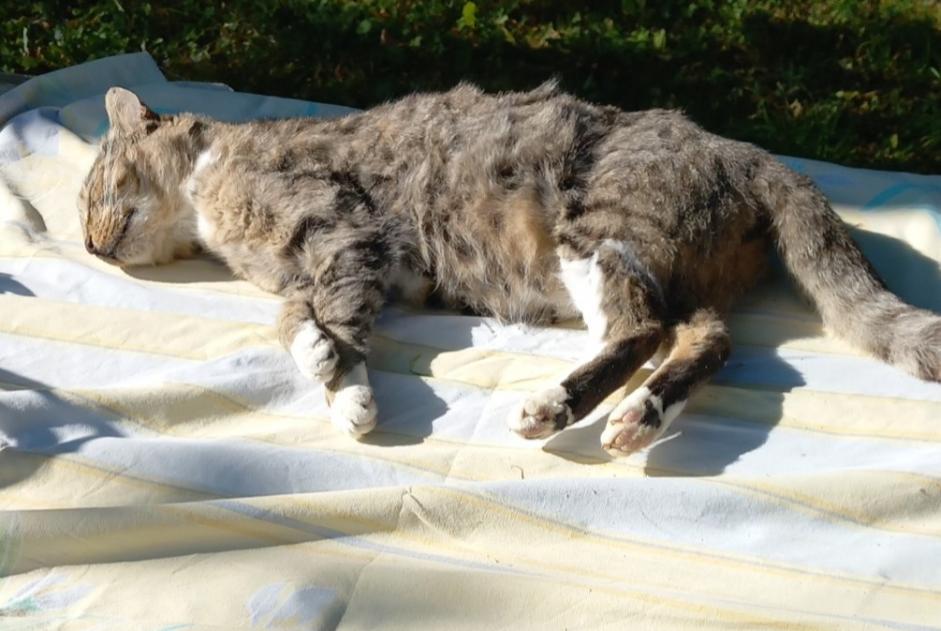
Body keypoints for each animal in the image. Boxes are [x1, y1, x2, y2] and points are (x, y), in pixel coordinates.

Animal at [79, 84, 940, 456]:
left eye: (93, 188)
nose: (86, 245)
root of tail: (748, 152)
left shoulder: (344, 229)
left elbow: (336, 321)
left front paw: (343, 388)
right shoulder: (324, 265)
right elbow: (293, 317)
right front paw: (325, 368)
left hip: (597, 231)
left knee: (641, 328)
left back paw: (554, 406)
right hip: (666, 270)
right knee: (706, 339)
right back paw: (639, 415)